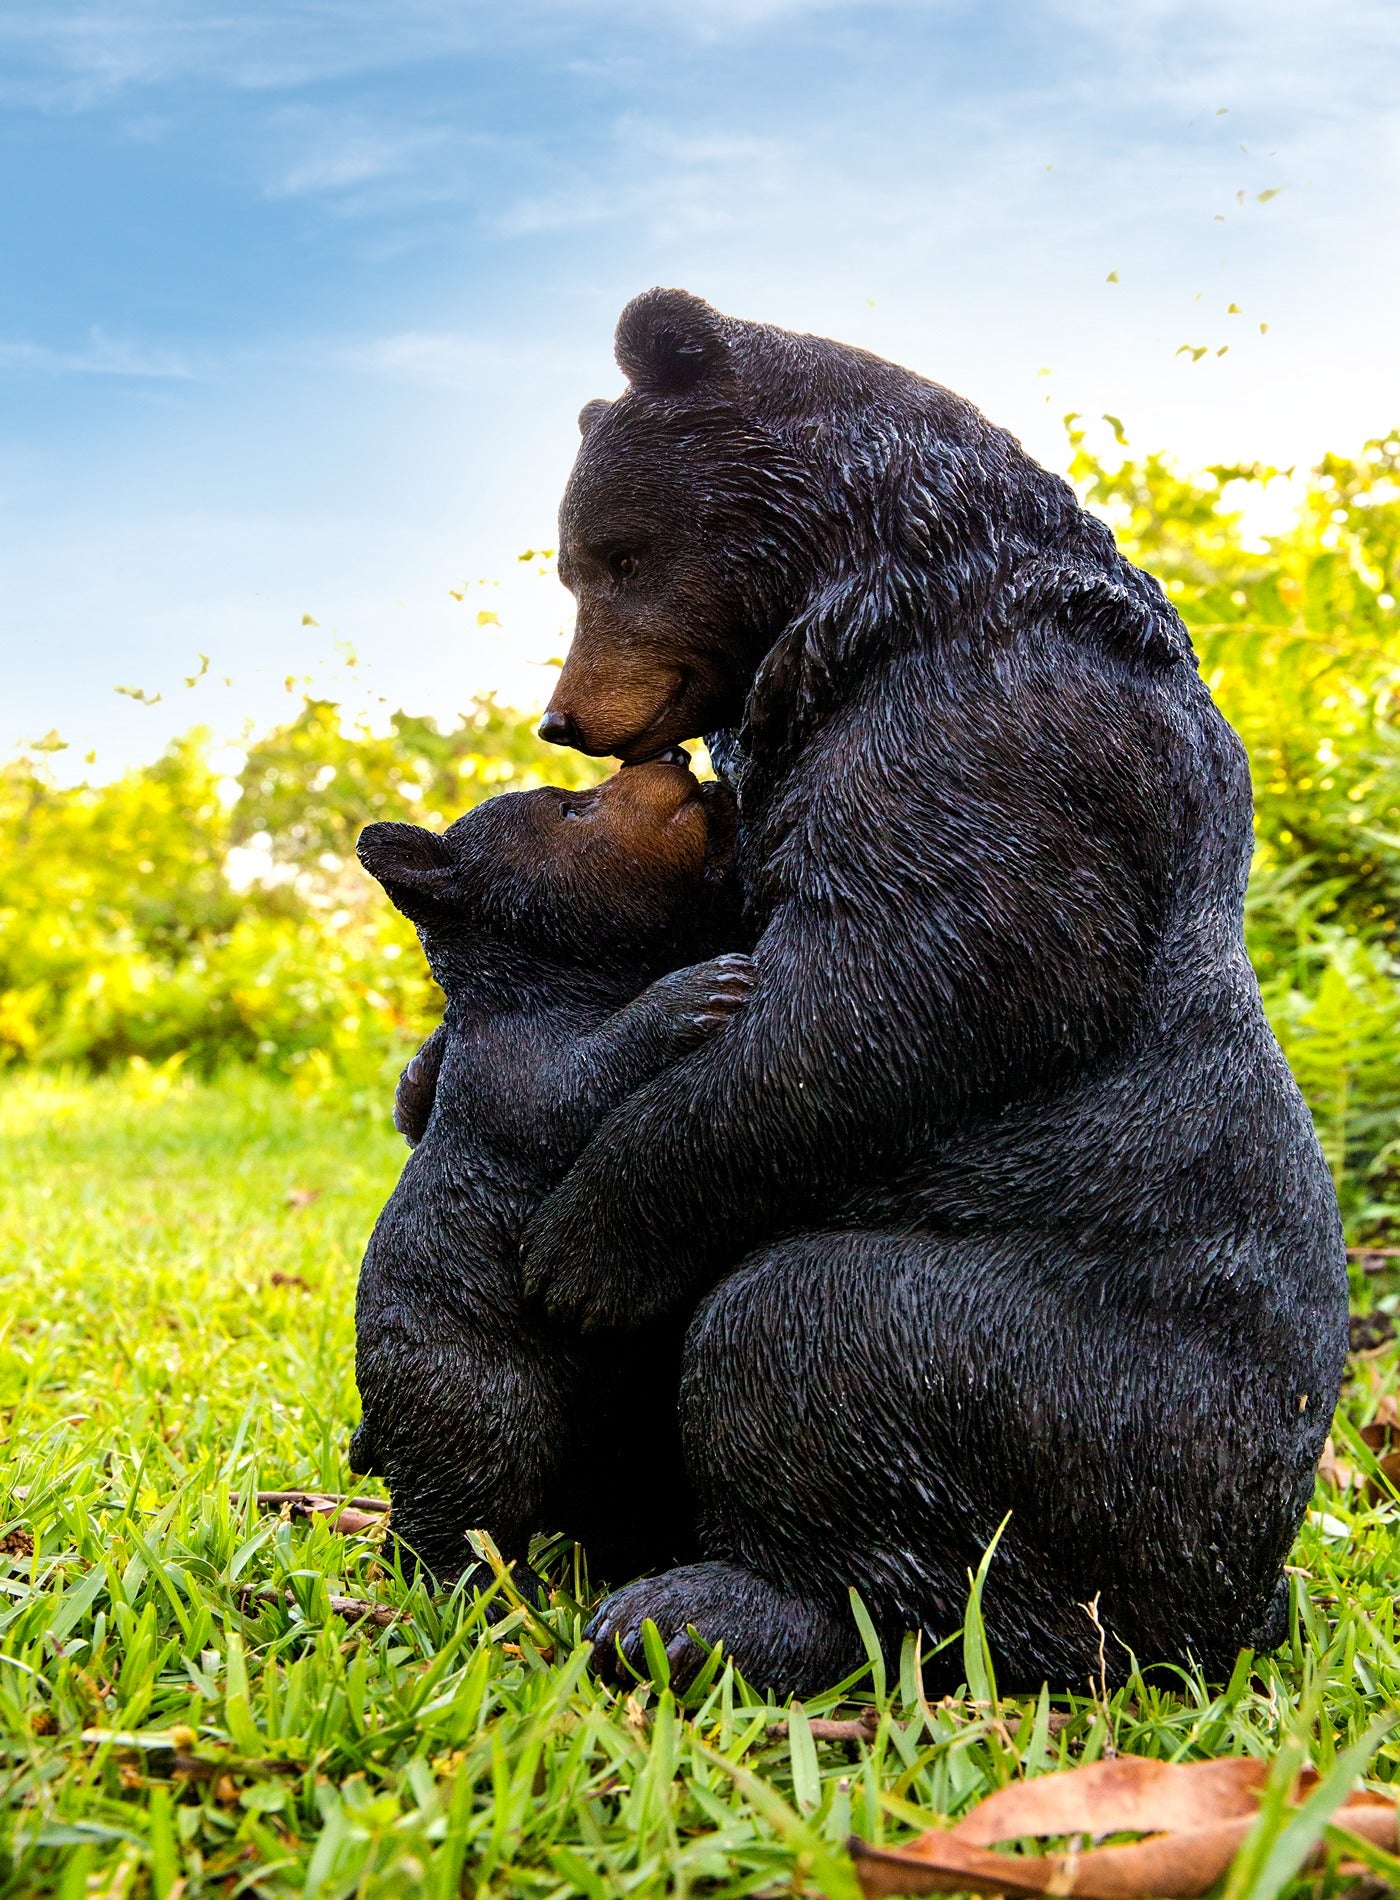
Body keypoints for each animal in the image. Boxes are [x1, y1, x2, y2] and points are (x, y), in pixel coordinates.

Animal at [348, 758, 751, 1589]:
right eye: (571, 809)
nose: (677, 760)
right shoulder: (518, 1075)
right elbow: (587, 1079)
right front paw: (696, 990)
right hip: (482, 1398)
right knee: (459, 1512)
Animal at [518, 288, 1349, 1697]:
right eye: (577, 562)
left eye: (614, 554)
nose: (566, 717)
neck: (862, 605)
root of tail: (1231, 1599)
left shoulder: (993, 730)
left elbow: (930, 977)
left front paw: (582, 1246)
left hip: (1070, 1367)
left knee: (811, 1331)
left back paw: (702, 1608)